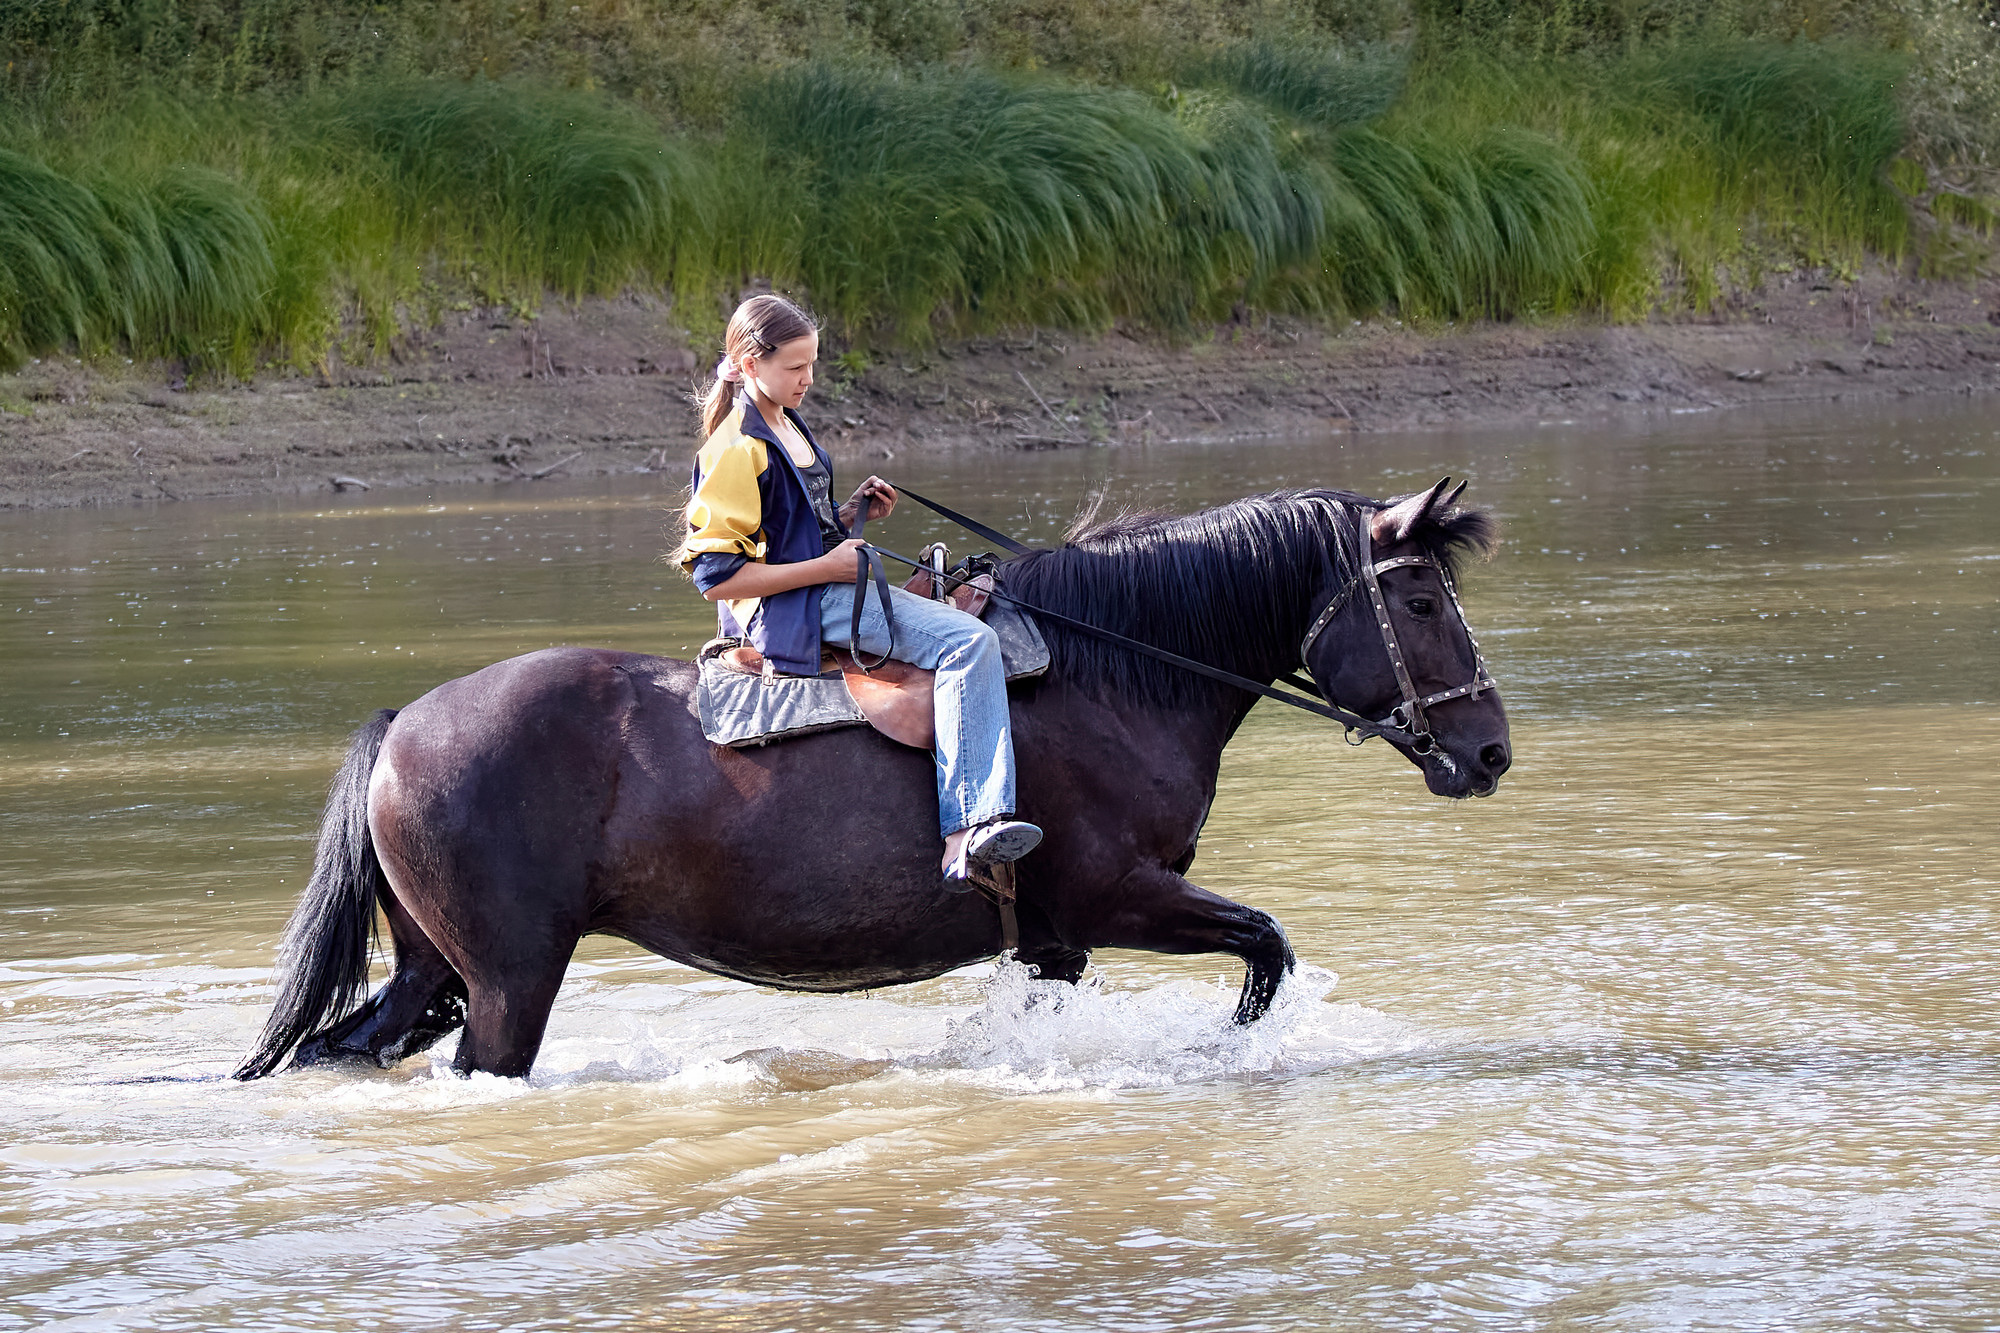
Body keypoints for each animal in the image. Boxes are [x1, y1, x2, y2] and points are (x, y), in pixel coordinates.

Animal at [234, 480, 1504, 1080]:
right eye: (1419, 598)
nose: (1489, 749)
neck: (1115, 671)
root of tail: (405, 724)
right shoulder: (1115, 897)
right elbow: (1266, 948)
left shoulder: (1053, 936)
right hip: (506, 980)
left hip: (434, 968)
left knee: (344, 1045)